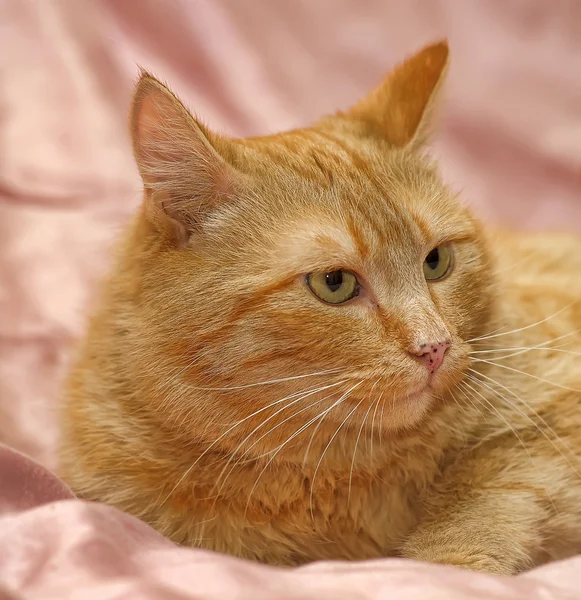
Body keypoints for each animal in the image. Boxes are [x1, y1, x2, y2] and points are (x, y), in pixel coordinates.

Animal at [57, 39, 580, 576]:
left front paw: (445, 566)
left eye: (436, 261)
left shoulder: (548, 422)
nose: (435, 346)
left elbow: (484, 493)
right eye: (335, 284)